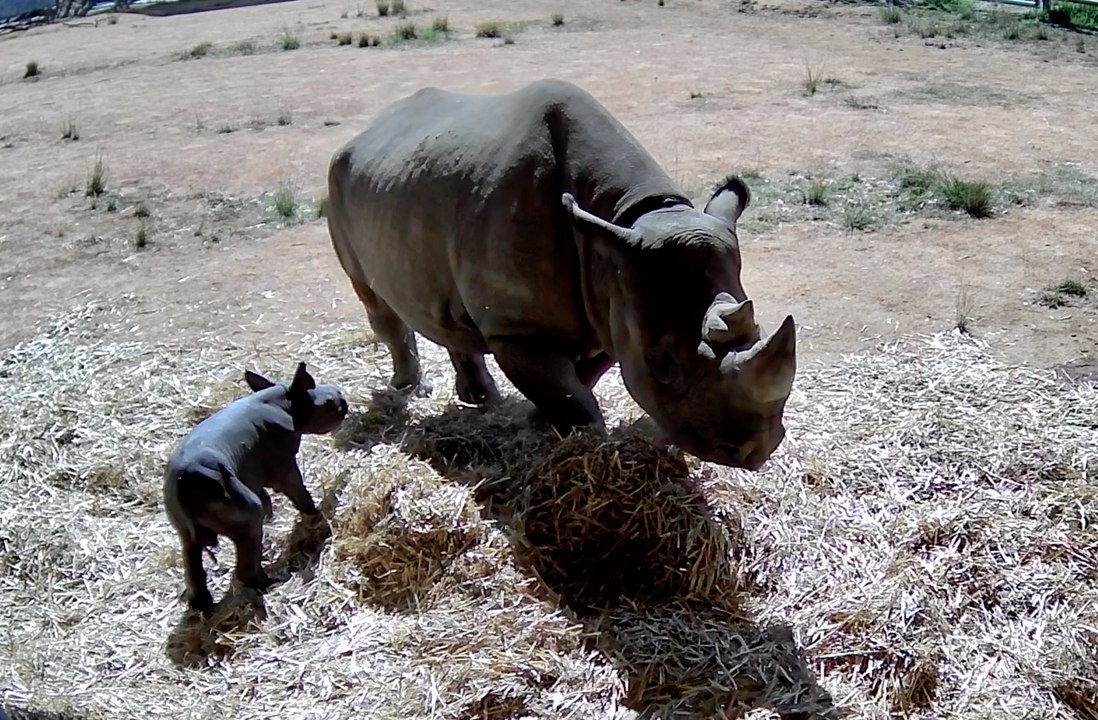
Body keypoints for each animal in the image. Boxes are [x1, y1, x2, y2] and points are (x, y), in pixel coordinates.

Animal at [163, 362, 348, 612]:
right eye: (329, 402)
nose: (343, 398)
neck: (287, 403)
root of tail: (186, 486)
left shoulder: (250, 472)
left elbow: (264, 493)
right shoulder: (282, 461)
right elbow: (297, 490)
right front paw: (317, 516)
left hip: (182, 519)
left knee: (191, 554)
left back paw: (202, 607)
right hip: (237, 506)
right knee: (247, 547)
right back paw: (273, 583)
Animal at [325, 78, 796, 471]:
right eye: (663, 364)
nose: (756, 451)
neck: (626, 220)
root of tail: (365, 133)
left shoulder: (611, 305)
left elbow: (579, 380)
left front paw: (540, 418)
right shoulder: (518, 329)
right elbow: (571, 396)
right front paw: (581, 439)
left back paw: (480, 399)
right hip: (337, 183)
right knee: (375, 298)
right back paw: (408, 391)